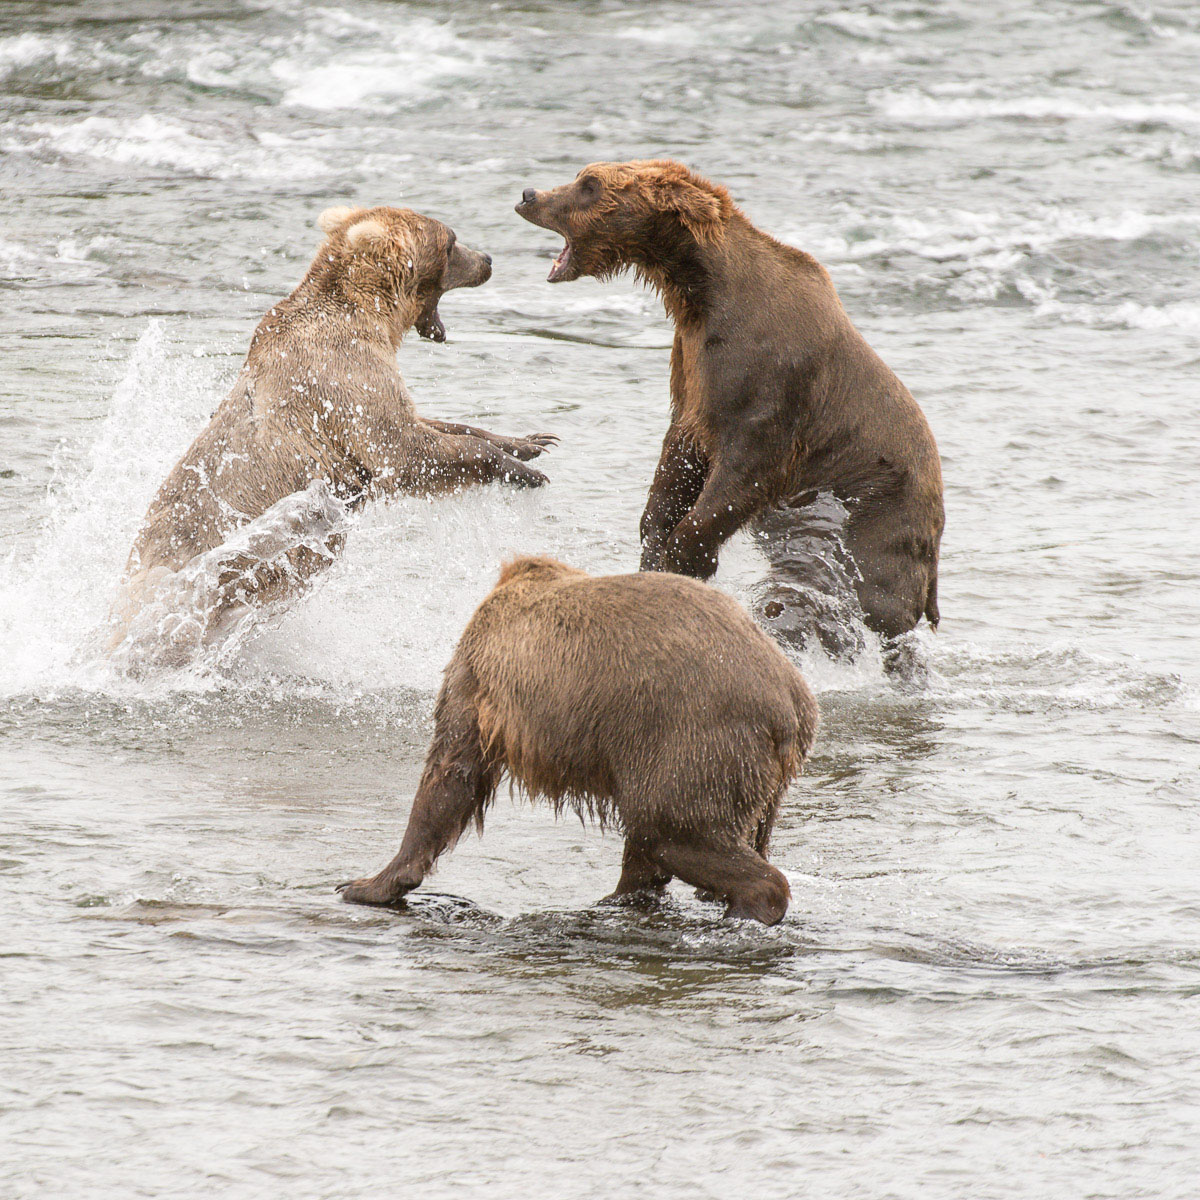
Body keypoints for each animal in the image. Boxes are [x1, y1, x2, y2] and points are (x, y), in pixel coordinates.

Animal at [110, 200, 549, 662]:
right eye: (451, 242)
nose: (487, 259)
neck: (372, 313)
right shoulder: (339, 377)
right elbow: (404, 450)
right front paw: (525, 473)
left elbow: (430, 423)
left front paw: (531, 443)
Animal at [343, 556, 820, 921]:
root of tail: (793, 702)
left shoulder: (480, 679)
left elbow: (451, 771)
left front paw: (367, 882)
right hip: (751, 775)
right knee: (692, 836)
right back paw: (633, 896)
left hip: (689, 736)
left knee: (671, 827)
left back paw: (745, 907)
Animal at [511, 159, 940, 657]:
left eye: (590, 184)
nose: (529, 194)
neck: (702, 290)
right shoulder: (693, 370)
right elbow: (678, 458)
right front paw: (656, 542)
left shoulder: (770, 384)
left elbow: (741, 474)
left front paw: (687, 557)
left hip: (875, 511)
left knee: (855, 596)